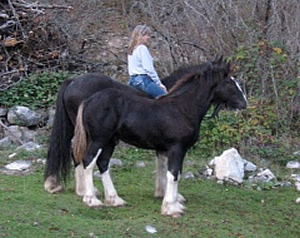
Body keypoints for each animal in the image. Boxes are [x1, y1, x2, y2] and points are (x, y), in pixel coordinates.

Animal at [72, 59, 246, 218]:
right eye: (228, 82)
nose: (244, 103)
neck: (183, 108)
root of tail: (88, 100)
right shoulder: (176, 148)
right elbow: (173, 174)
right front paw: (170, 208)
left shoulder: (179, 150)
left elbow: (177, 174)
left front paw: (175, 203)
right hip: (98, 140)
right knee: (88, 161)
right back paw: (92, 200)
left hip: (110, 141)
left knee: (103, 163)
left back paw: (114, 199)